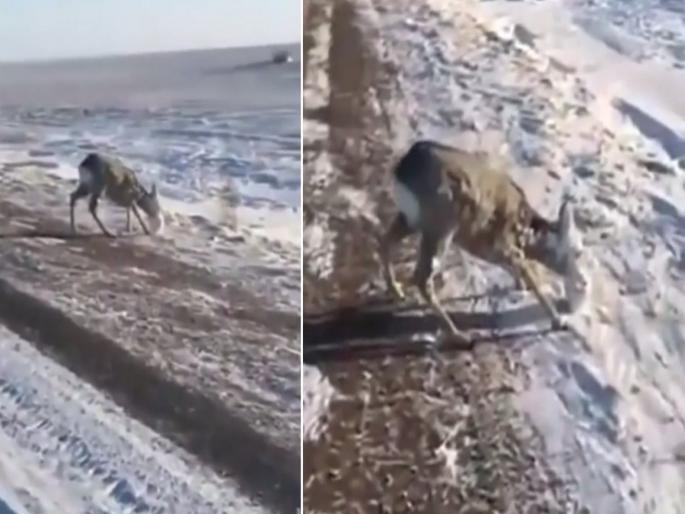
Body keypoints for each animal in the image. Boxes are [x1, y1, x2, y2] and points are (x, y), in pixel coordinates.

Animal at [379, 140, 587, 345]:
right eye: (578, 251)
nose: (584, 282)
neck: (527, 233)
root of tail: (404, 167)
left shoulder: (483, 244)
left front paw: (520, 285)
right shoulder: (503, 245)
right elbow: (531, 276)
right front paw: (558, 321)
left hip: (413, 219)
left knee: (385, 241)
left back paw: (396, 290)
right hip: (441, 225)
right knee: (422, 278)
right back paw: (458, 336)